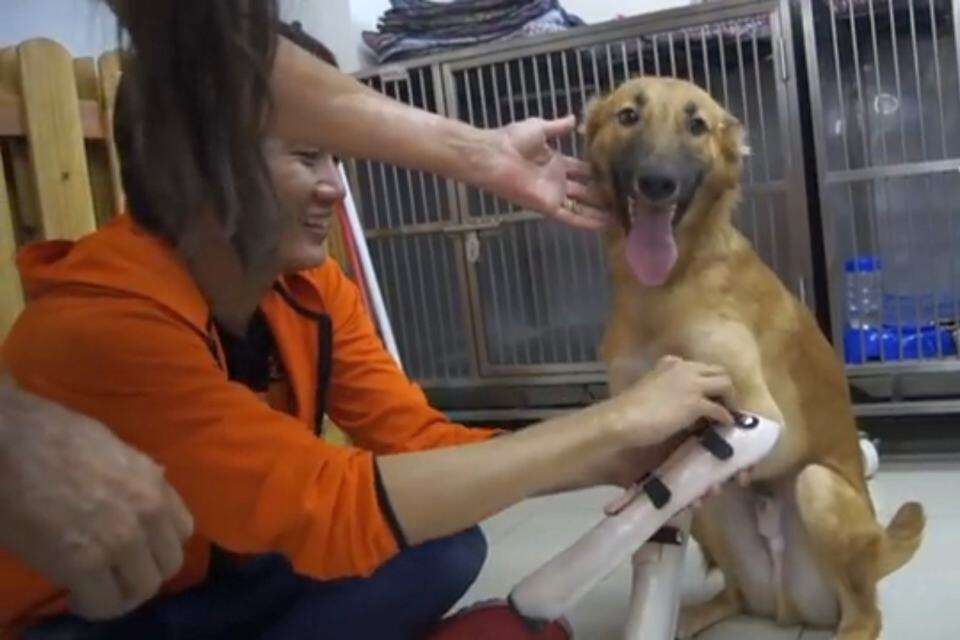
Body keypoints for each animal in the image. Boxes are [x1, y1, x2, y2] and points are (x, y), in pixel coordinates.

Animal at [580, 76, 928, 640]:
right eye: (628, 115)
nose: (657, 183)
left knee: (865, 612)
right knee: (736, 591)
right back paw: (697, 613)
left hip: (819, 491)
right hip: (714, 517)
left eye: (697, 125)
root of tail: (789, 606)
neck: (663, 286)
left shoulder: (763, 413)